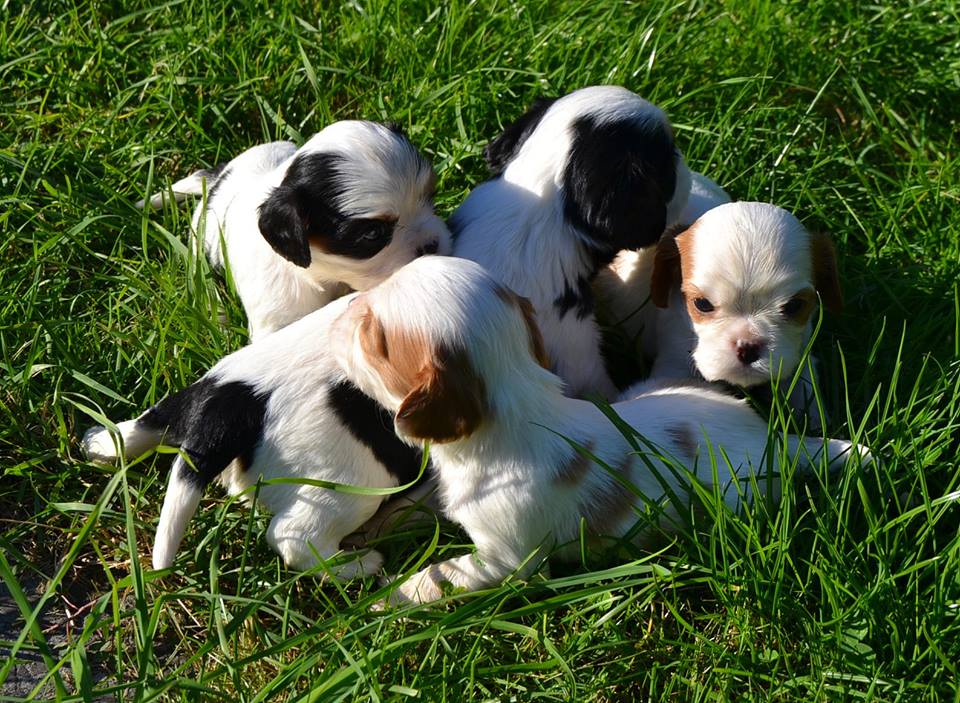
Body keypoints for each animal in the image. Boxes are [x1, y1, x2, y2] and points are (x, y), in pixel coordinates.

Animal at [82, 293, 424, 578]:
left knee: (140, 428)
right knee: (294, 538)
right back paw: (358, 565)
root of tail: (230, 401)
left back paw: (97, 442)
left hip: (180, 405)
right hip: (351, 483)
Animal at [329, 256, 868, 605]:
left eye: (370, 336)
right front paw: (370, 532)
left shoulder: (506, 558)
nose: (340, 312)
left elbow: (440, 575)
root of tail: (776, 442)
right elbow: (413, 506)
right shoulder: (452, 497)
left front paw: (381, 604)